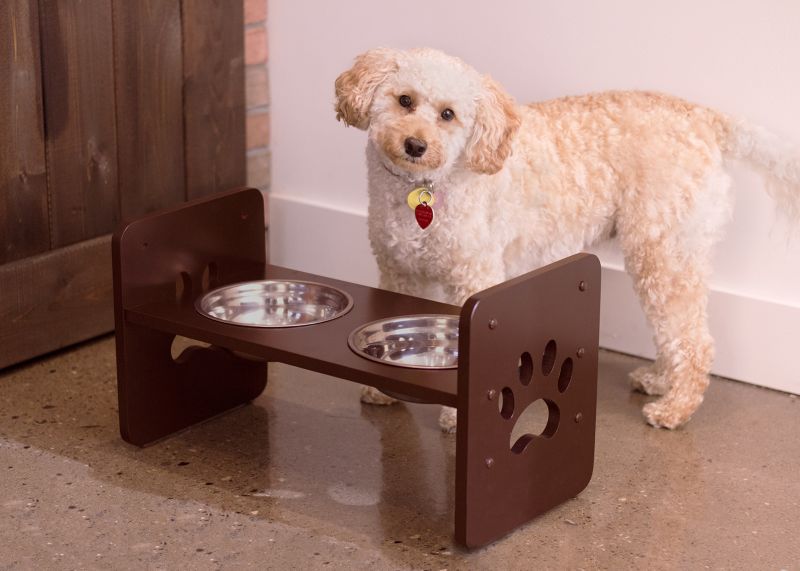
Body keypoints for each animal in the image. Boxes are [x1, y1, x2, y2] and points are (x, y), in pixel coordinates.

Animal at [332, 49, 800, 432]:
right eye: (404, 100)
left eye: (448, 114)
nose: (415, 144)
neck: (425, 189)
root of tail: (705, 117)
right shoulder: (399, 271)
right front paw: (383, 389)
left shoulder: (472, 277)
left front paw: (454, 416)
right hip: (670, 254)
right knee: (678, 333)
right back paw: (658, 381)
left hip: (663, 252)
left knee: (693, 340)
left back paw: (675, 409)